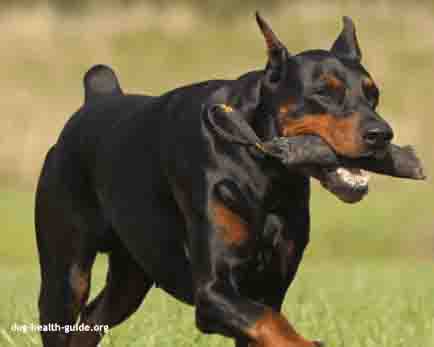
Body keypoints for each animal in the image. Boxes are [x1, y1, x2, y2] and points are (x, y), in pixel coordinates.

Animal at [35, 13, 396, 347]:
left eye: (373, 94)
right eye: (323, 92)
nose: (382, 134)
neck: (263, 170)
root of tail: (96, 97)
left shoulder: (269, 287)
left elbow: (269, 322)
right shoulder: (212, 292)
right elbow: (271, 322)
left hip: (132, 275)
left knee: (92, 319)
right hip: (65, 278)